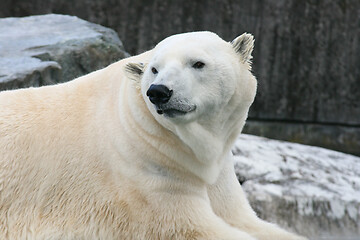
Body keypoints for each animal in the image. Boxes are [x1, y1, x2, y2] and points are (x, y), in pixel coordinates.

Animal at [0, 31, 306, 240]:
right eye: (154, 69)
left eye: (198, 63)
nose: (158, 91)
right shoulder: (148, 174)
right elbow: (194, 226)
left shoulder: (219, 176)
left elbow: (244, 219)